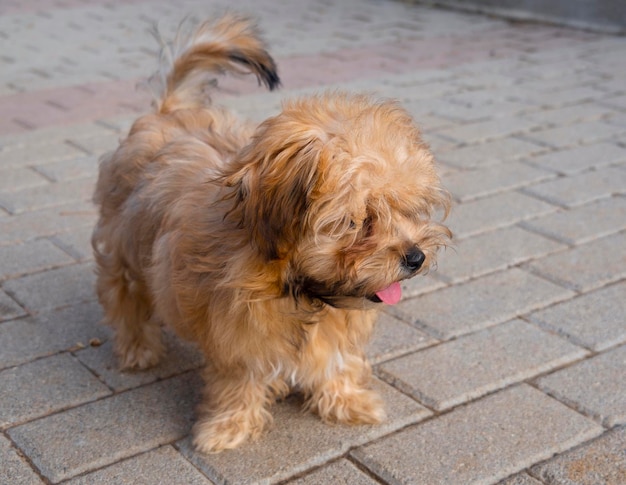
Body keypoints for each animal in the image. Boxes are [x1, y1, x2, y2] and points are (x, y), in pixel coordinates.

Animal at [91, 15, 448, 454]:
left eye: (408, 208)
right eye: (360, 221)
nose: (415, 257)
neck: (298, 288)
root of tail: (168, 111)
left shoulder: (332, 328)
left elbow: (337, 360)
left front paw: (346, 400)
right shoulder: (237, 334)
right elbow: (238, 380)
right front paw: (228, 426)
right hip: (122, 251)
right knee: (125, 299)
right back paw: (138, 349)